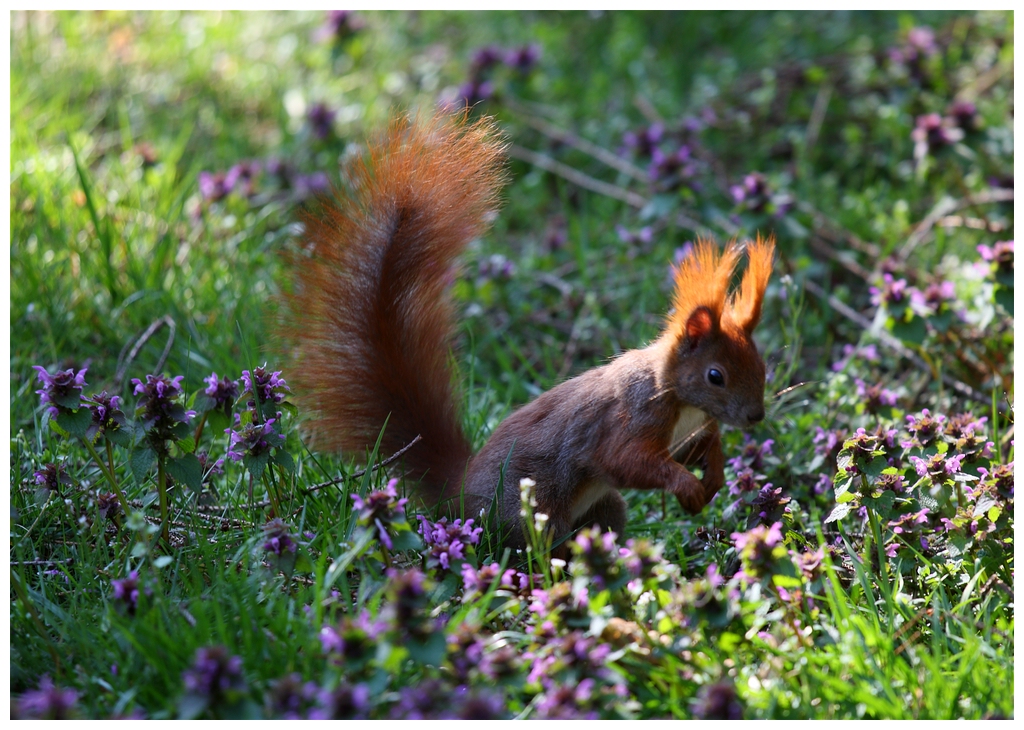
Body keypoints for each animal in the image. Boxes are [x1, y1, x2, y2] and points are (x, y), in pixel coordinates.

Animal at [276, 112, 770, 552]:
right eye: (715, 376)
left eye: (762, 364)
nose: (756, 416)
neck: (673, 392)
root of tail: (459, 497)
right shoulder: (628, 420)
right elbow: (628, 461)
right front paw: (687, 487)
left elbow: (698, 447)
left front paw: (716, 473)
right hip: (531, 511)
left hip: (604, 508)